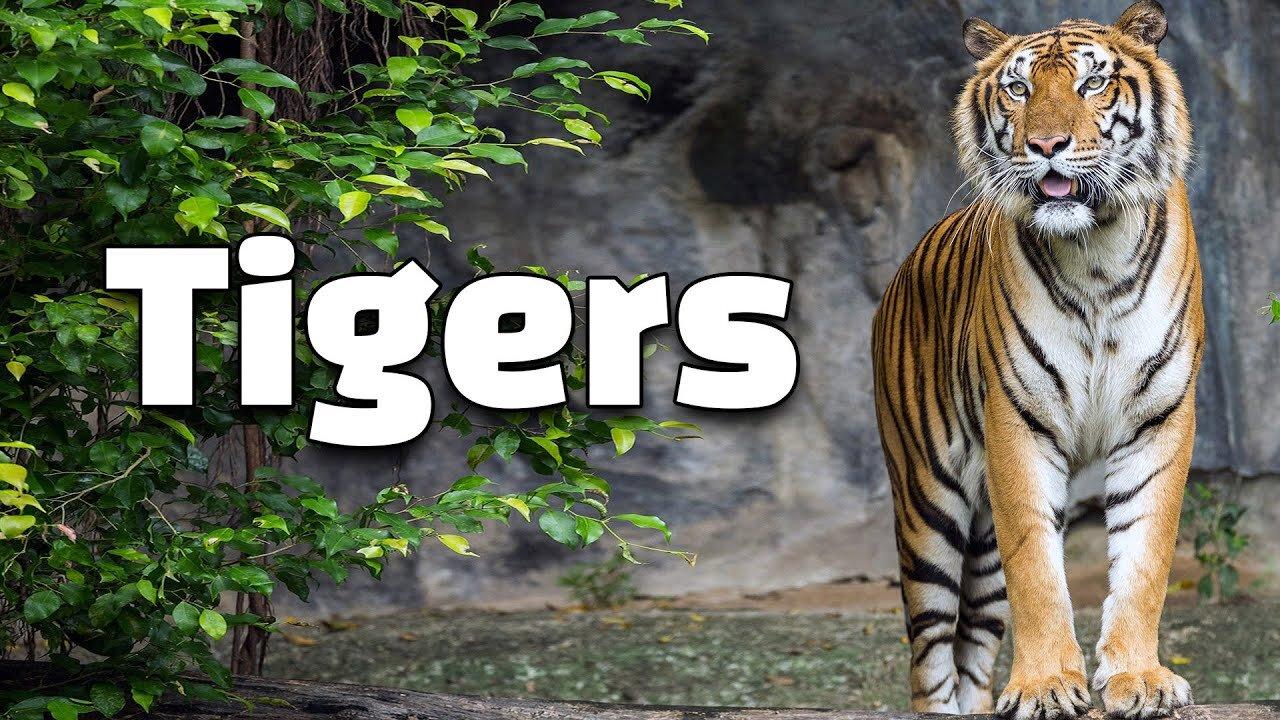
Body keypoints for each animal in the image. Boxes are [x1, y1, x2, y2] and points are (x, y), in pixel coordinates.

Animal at [871, 2, 1202, 719]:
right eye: (1019, 89)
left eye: (1091, 83)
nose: (1046, 145)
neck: (1097, 251)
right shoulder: (1018, 424)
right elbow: (1038, 569)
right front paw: (1048, 685)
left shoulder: (1159, 421)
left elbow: (1145, 559)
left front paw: (1139, 679)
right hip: (926, 503)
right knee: (930, 658)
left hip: (979, 547)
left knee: (973, 648)